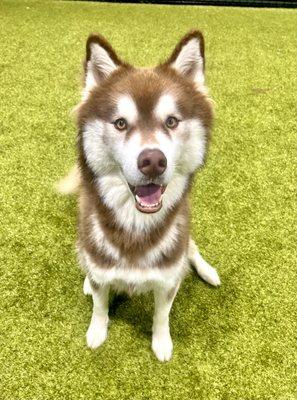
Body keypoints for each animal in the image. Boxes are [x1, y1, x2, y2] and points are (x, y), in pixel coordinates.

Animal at [58, 30, 220, 362]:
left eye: (171, 121)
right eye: (120, 123)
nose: (153, 161)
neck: (135, 225)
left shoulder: (168, 279)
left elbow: (162, 314)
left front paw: (161, 342)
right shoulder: (101, 270)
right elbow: (99, 305)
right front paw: (97, 331)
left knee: (192, 249)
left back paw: (208, 272)